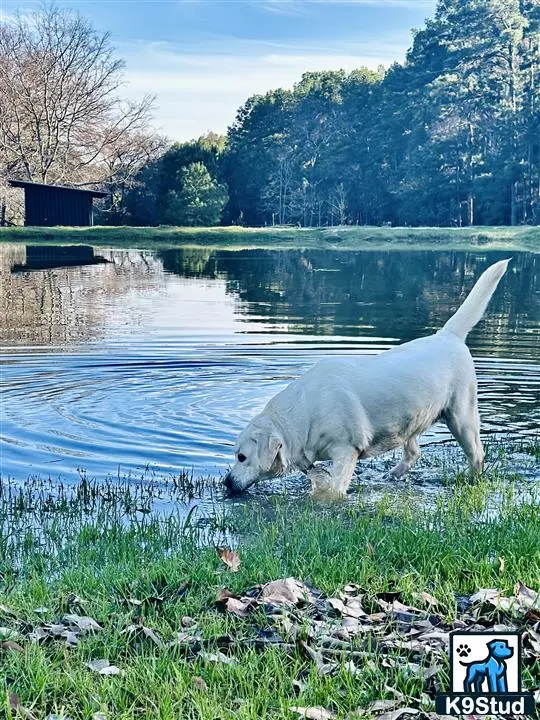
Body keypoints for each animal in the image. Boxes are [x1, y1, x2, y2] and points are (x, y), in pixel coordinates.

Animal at [225, 260, 510, 496]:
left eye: (242, 457)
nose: (226, 482)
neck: (304, 415)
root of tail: (448, 335)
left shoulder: (346, 450)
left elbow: (336, 483)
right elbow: (315, 472)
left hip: (461, 416)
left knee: (477, 454)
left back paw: (473, 479)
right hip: (411, 418)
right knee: (414, 452)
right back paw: (392, 476)